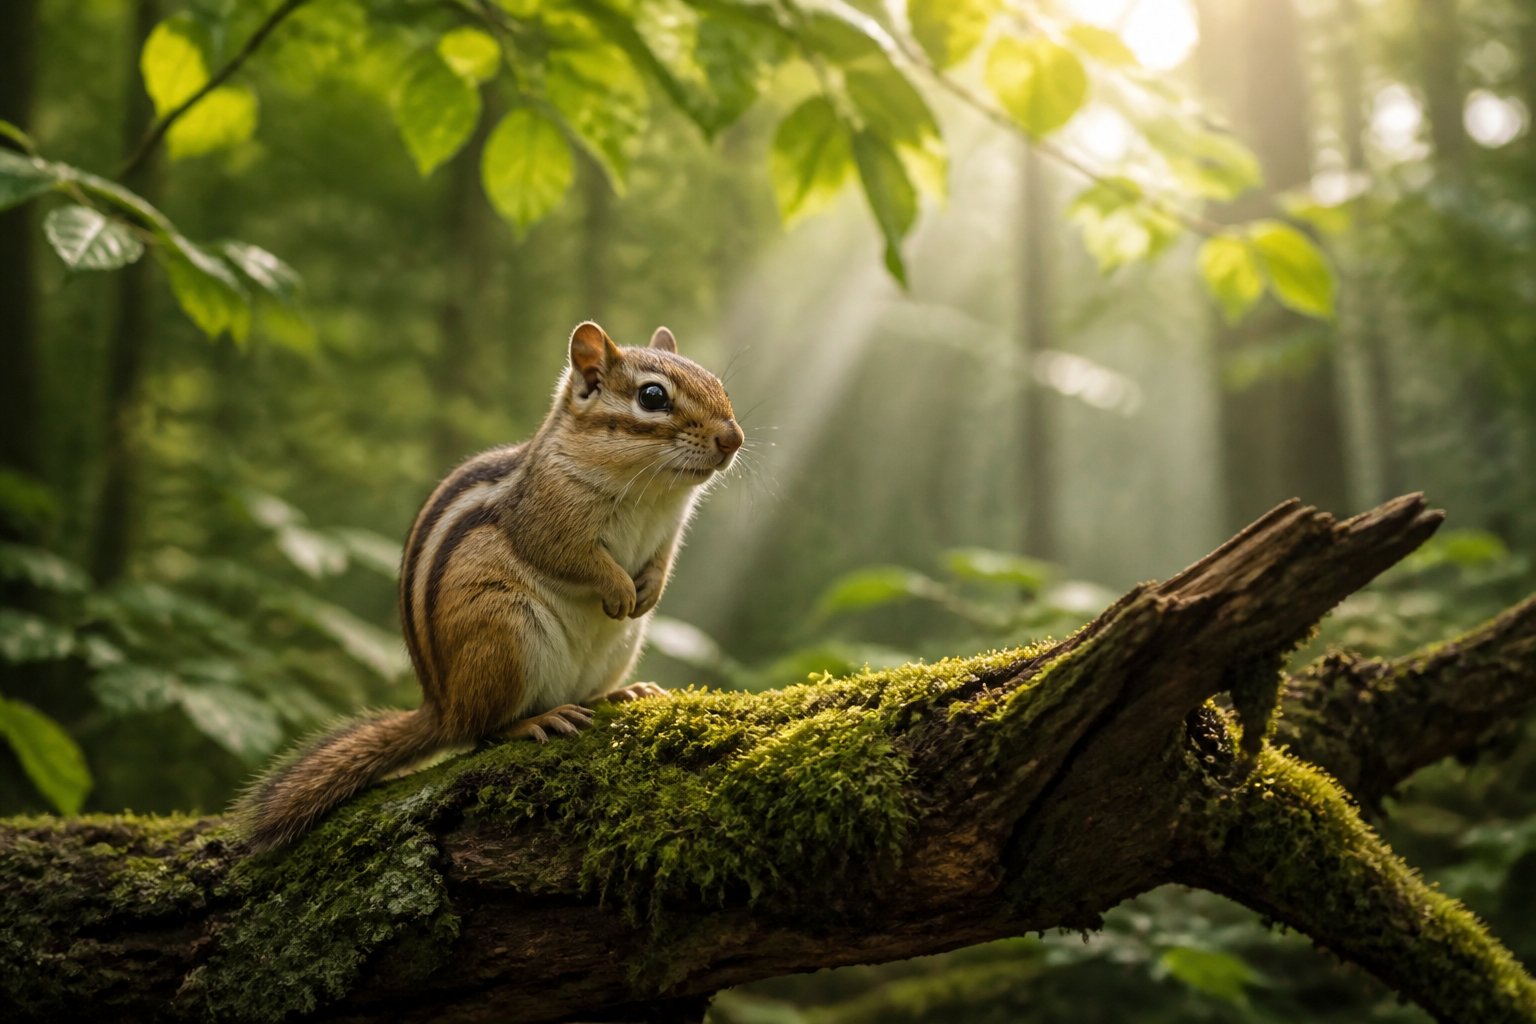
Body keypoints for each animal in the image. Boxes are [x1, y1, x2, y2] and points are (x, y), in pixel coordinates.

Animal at [235, 321, 743, 853]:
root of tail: (442, 708)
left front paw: (649, 591)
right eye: (652, 396)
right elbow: (572, 558)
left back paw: (620, 694)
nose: (734, 438)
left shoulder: (669, 531)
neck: (653, 494)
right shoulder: (545, 519)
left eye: (721, 386)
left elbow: (663, 562)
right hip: (504, 631)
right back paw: (535, 720)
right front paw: (619, 587)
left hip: (615, 646)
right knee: (482, 730)